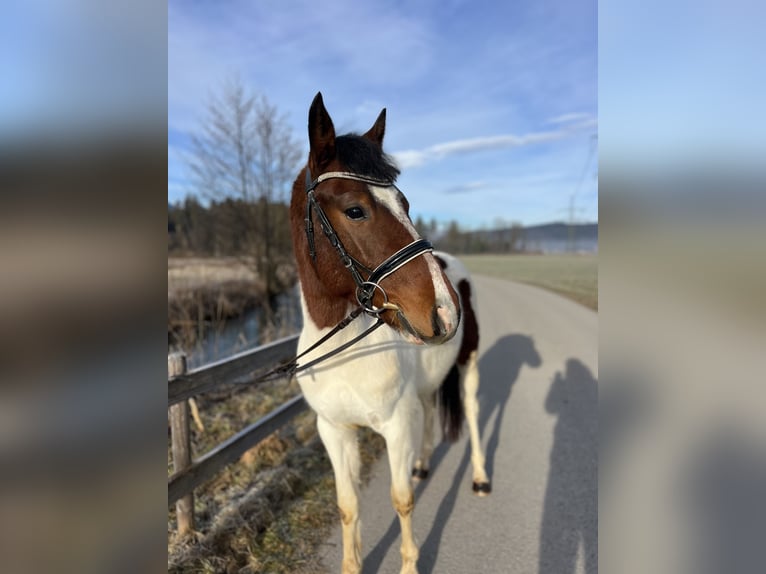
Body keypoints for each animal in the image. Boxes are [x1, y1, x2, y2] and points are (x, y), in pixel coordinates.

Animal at [288, 92, 492, 572]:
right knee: (431, 408)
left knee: (473, 414)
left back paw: (478, 477)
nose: (444, 309)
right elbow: (348, 507)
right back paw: (423, 463)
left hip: (469, 366)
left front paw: (410, 564)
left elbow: (402, 500)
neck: (345, 353)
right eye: (355, 210)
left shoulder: (396, 426)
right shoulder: (335, 431)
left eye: (405, 203)